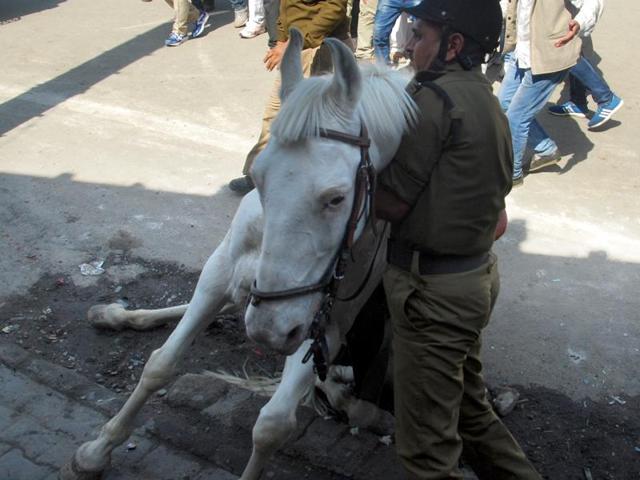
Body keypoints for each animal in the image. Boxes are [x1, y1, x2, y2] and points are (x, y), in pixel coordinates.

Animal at [61, 29, 418, 480]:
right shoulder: (220, 273)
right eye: (259, 177)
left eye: (337, 197)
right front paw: (96, 450)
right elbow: (160, 364)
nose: (267, 331)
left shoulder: (324, 325)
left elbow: (272, 426)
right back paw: (117, 315)